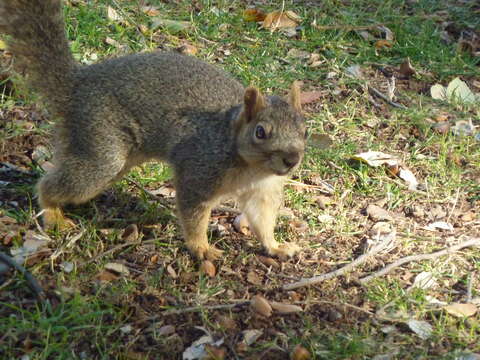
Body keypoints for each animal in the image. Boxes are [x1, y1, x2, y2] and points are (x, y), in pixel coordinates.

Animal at [0, 0, 308, 260]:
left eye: (305, 130)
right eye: (260, 132)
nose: (291, 160)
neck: (249, 164)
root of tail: (76, 85)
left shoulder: (263, 189)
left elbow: (262, 218)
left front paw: (277, 247)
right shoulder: (199, 168)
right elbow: (193, 213)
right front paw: (201, 248)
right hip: (100, 150)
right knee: (54, 184)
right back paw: (53, 214)